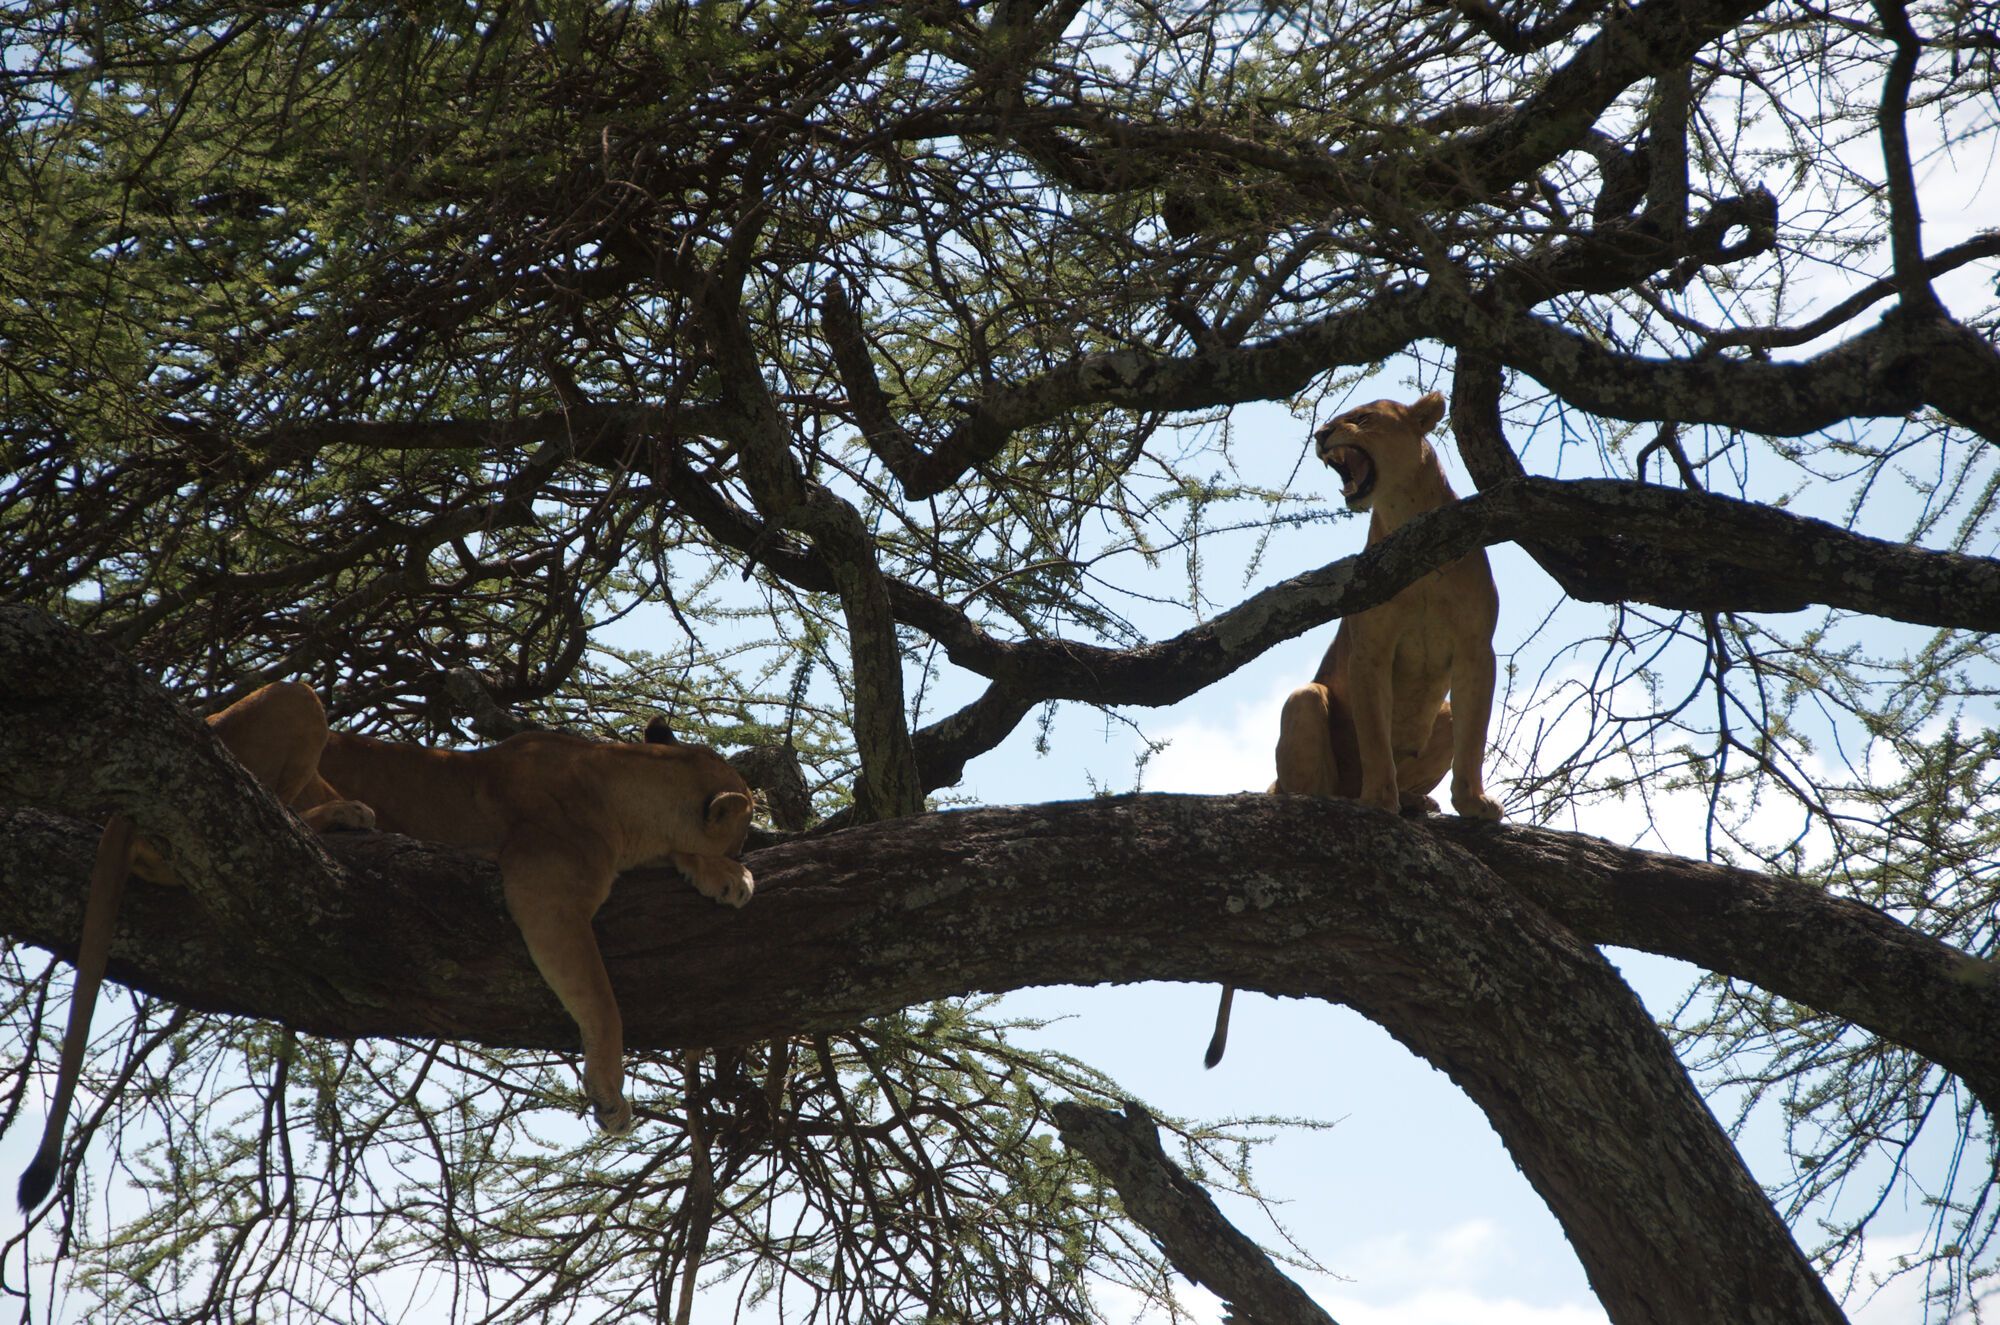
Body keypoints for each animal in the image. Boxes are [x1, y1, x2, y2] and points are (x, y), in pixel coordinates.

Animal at [19, 683, 753, 1211]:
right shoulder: (543, 890)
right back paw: (348, 815)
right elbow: (600, 998)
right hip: (294, 702)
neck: (624, 779)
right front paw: (608, 1092)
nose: (746, 854)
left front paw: (722, 876)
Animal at [1205, 391, 1501, 1068]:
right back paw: (1339, 802)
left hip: (1437, 715)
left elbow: (1475, 736)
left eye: (1363, 418)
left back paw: (1422, 804)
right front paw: (1379, 803)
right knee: (1308, 777)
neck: (1409, 517)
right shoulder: (1368, 651)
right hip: (1305, 700)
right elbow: (1372, 736)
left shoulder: (1478, 649)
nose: (1321, 433)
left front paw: (1472, 804)